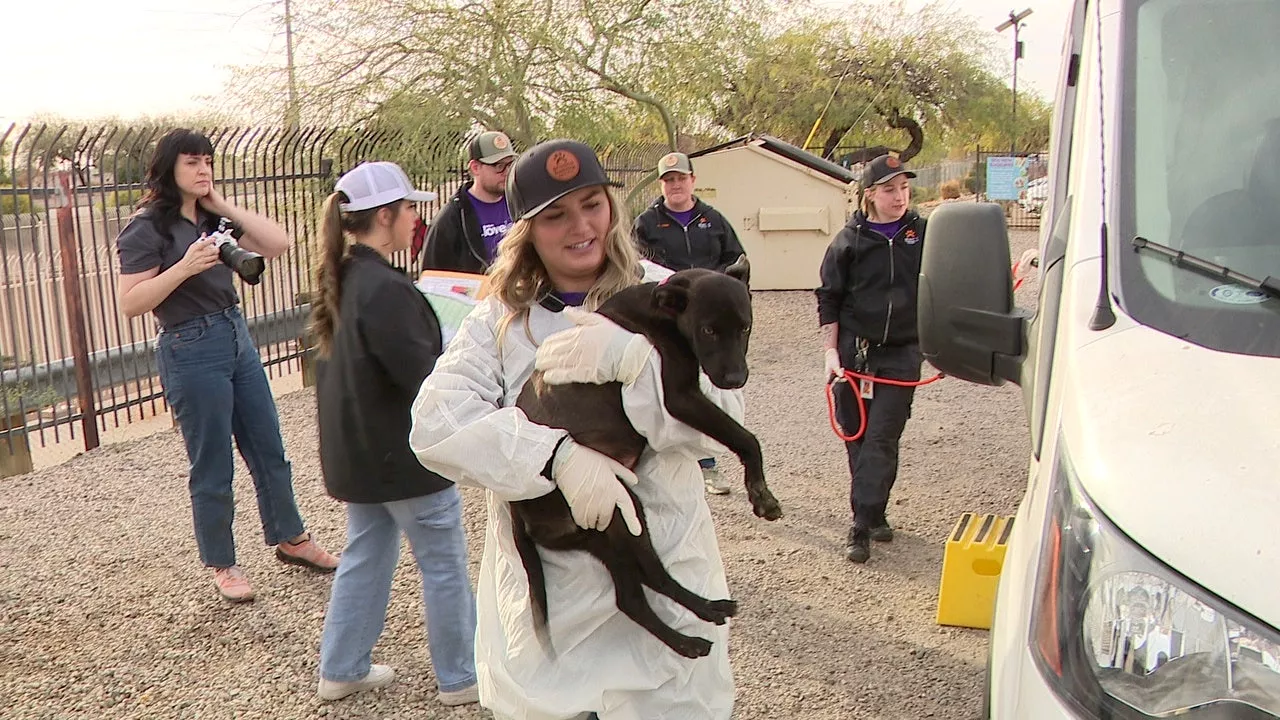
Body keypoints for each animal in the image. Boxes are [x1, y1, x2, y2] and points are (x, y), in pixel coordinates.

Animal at [512, 256, 778, 655]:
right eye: (708, 330)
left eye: (744, 327)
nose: (735, 379)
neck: (665, 310)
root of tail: (515, 508)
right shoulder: (679, 397)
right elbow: (747, 438)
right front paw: (762, 495)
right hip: (615, 510)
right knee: (634, 595)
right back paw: (686, 641)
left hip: (611, 525)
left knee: (645, 583)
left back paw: (707, 609)